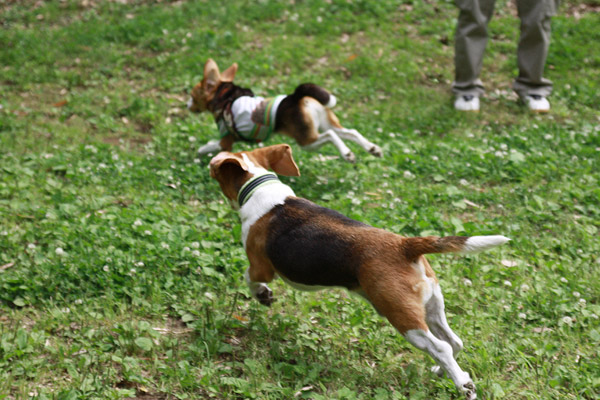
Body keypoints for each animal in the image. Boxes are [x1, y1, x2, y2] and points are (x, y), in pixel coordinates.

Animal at [189, 57, 384, 162]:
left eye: (192, 95)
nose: (187, 105)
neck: (225, 97)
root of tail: (297, 96)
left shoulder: (226, 141)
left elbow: (212, 145)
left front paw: (201, 150)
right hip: (325, 122)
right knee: (350, 132)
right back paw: (372, 148)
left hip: (307, 141)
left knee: (330, 136)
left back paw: (347, 153)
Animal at [209, 145, 508, 400]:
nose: (210, 162)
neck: (261, 189)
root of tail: (404, 245)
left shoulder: (260, 266)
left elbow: (250, 278)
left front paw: (263, 295)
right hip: (432, 308)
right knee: (454, 341)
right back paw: (444, 372)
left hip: (403, 318)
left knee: (441, 347)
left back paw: (463, 385)